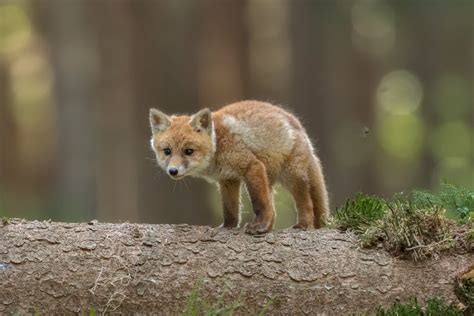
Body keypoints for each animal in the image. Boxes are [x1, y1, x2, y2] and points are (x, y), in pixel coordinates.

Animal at [150, 101, 328, 235]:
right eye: (167, 151)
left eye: (188, 151)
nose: (173, 171)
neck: (218, 145)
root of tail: (299, 127)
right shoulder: (227, 180)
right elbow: (230, 209)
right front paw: (228, 227)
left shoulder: (252, 166)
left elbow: (259, 203)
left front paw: (259, 227)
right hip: (269, 181)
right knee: (275, 211)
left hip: (292, 177)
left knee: (306, 205)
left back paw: (302, 225)